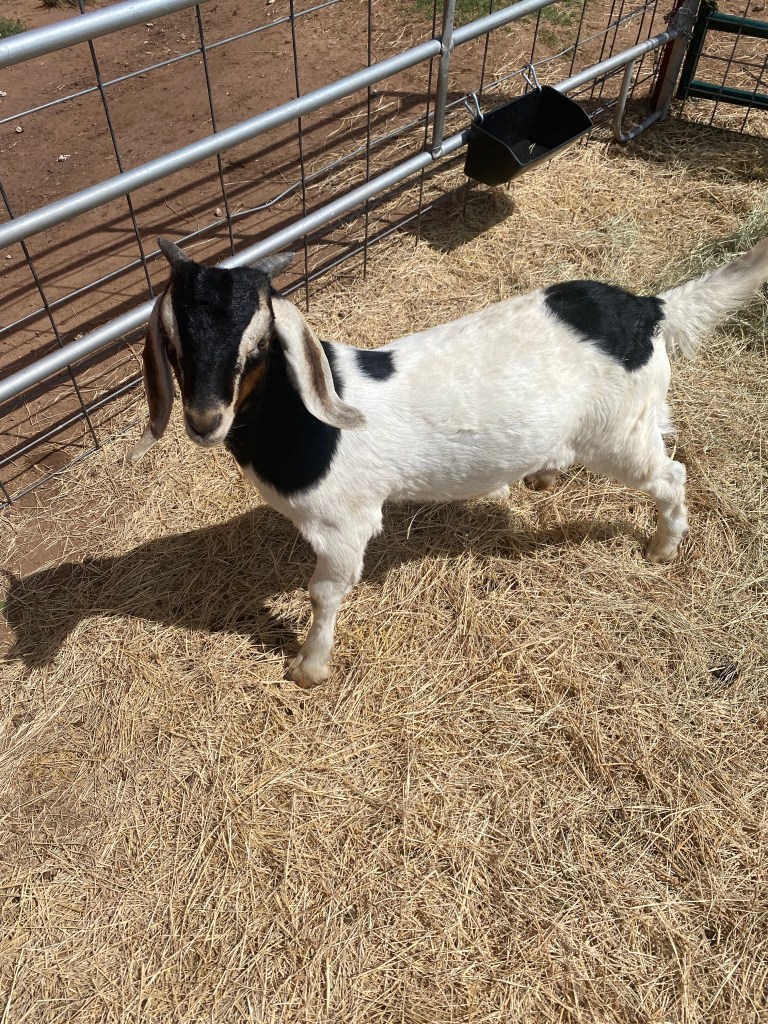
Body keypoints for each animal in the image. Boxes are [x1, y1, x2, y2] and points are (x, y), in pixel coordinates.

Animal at [131, 235, 768, 686]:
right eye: (177, 344)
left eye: (258, 346)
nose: (205, 420)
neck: (307, 418)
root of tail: (648, 309)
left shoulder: (344, 524)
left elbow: (323, 592)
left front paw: (308, 669)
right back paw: (544, 472)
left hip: (619, 434)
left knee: (670, 474)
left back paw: (662, 547)